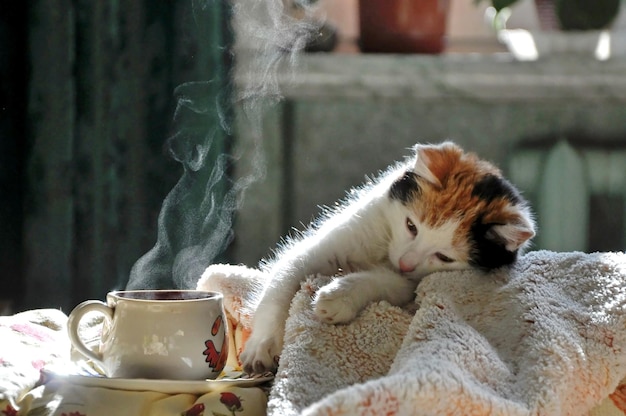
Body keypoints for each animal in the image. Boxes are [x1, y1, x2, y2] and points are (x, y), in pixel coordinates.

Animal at [236, 141, 532, 372]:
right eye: (411, 226)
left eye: (444, 258)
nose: (405, 263)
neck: (386, 251)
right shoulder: (331, 240)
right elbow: (282, 284)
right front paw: (262, 345)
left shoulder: (411, 282)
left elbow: (384, 282)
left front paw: (338, 297)